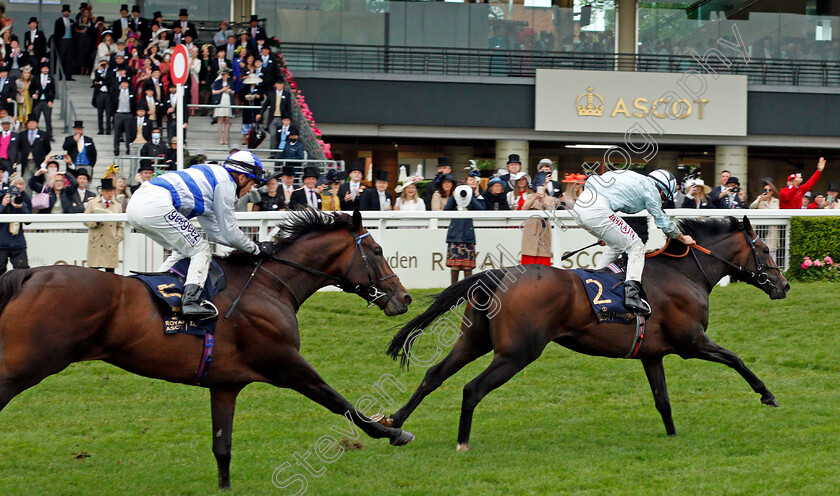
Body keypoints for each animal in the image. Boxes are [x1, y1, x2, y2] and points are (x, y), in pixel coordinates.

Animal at [0, 208, 414, 488]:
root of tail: (31, 273)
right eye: (377, 250)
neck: (269, 285)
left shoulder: (225, 384)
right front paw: (393, 431)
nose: (404, 297)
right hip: (24, 365)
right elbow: (341, 402)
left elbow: (222, 447)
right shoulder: (286, 364)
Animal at [384, 216, 792, 450]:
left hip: (474, 341)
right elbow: (736, 359)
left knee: (433, 375)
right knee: (472, 389)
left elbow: (663, 400)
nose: (784, 284)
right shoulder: (691, 342)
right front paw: (768, 394)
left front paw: (673, 437)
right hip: (517, 352)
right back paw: (462, 443)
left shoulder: (652, 354)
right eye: (764, 248)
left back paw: (395, 424)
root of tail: (500, 274)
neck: (684, 273)